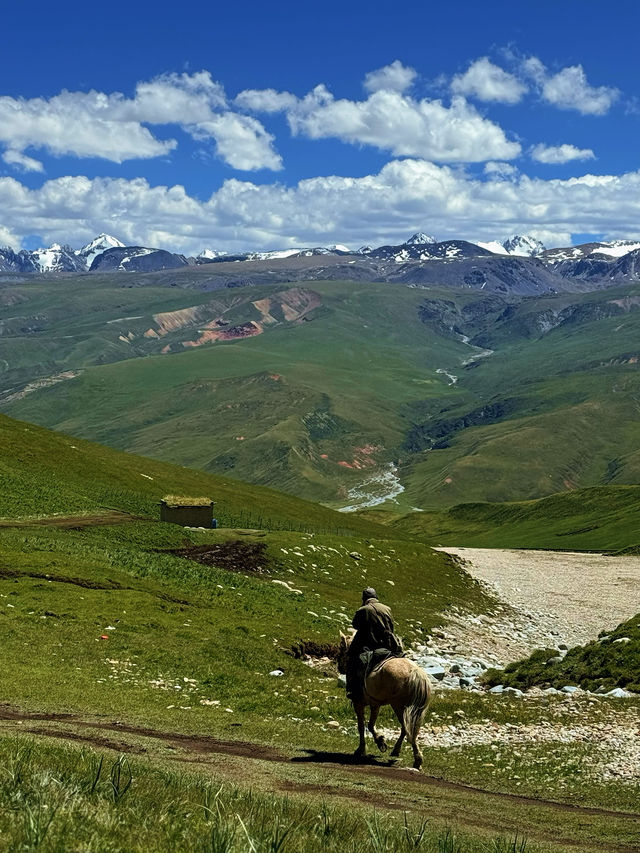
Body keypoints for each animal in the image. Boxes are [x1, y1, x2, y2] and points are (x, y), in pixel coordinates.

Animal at [336, 632, 430, 764]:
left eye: (341, 649)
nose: (339, 667)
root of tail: (415, 673)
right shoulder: (375, 704)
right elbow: (370, 725)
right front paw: (380, 742)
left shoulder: (358, 703)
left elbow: (361, 726)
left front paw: (361, 750)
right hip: (416, 710)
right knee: (410, 729)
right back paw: (402, 753)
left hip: (398, 706)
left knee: (406, 728)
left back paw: (414, 758)